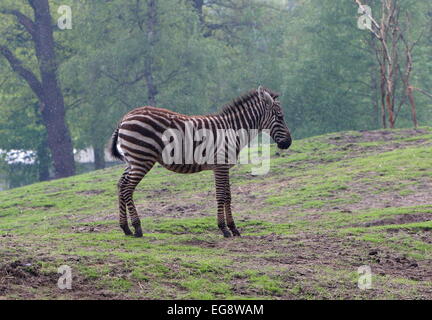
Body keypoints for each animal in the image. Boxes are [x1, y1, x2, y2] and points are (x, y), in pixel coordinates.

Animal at [109, 87, 292, 238]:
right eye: (280, 117)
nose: (288, 143)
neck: (233, 130)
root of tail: (125, 117)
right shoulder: (220, 165)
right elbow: (221, 195)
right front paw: (224, 229)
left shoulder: (224, 166)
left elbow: (228, 196)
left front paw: (233, 228)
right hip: (142, 159)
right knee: (127, 188)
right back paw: (137, 228)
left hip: (132, 160)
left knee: (121, 185)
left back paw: (125, 228)